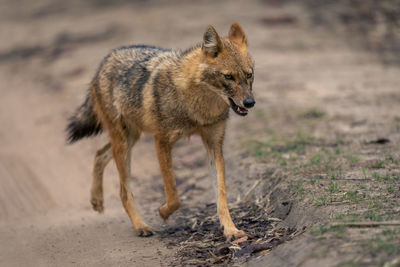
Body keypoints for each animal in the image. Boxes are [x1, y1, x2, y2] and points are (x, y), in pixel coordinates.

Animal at [65, 23, 253, 241]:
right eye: (228, 76)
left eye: (249, 75)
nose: (250, 102)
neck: (197, 106)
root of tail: (106, 59)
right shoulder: (161, 141)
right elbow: (173, 194)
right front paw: (163, 212)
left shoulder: (214, 146)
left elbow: (221, 195)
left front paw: (231, 230)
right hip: (124, 144)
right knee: (123, 190)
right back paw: (140, 226)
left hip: (131, 138)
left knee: (99, 154)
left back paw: (97, 201)